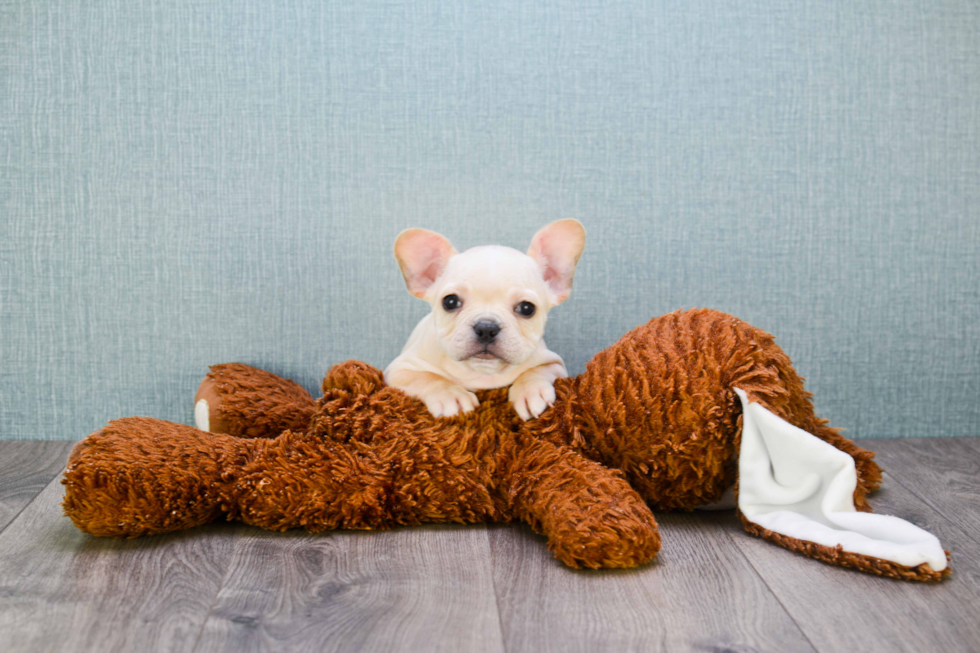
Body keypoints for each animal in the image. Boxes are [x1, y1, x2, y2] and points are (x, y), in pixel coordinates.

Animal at [384, 219, 584, 420]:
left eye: (527, 308)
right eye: (450, 301)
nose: (486, 328)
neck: (483, 371)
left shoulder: (554, 363)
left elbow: (535, 371)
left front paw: (530, 390)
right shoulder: (400, 369)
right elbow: (429, 378)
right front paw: (450, 395)